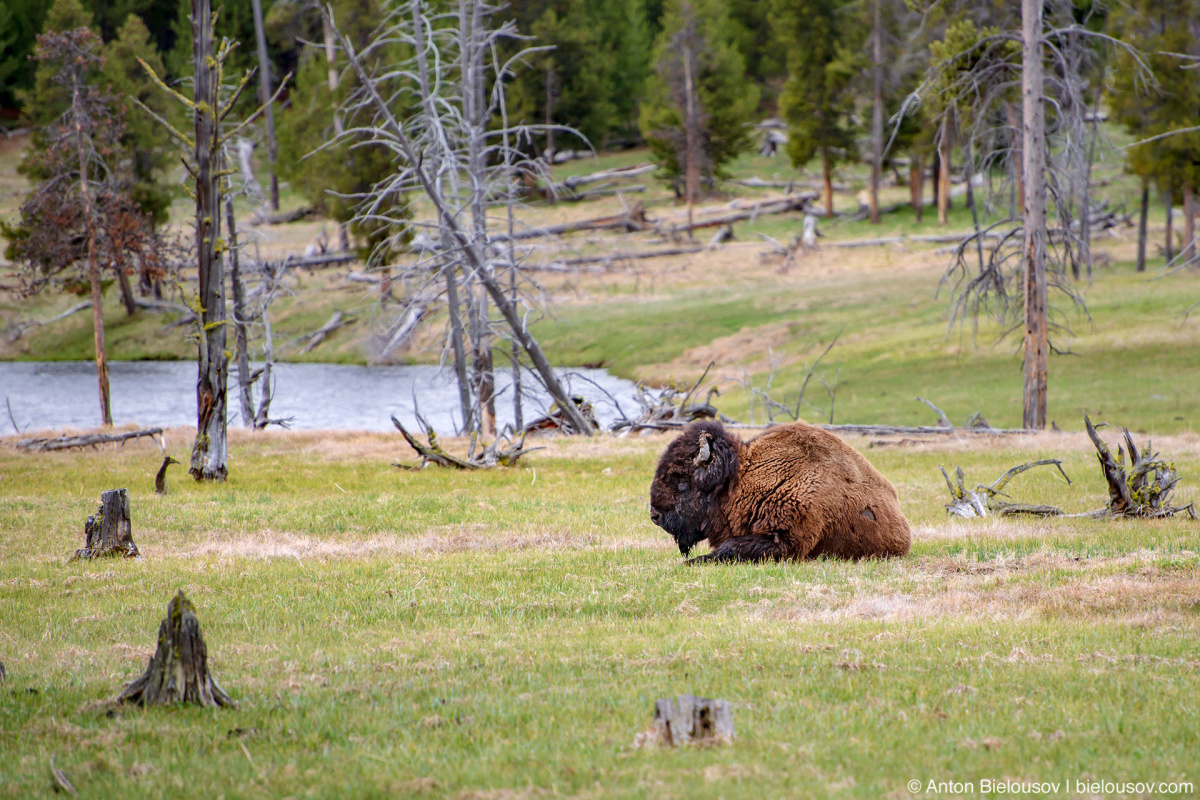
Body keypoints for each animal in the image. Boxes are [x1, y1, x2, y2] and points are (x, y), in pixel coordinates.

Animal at [652, 419, 912, 563]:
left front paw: (689, 563)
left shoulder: (785, 540)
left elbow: (730, 548)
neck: (742, 481)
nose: (655, 516)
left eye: (682, 481)